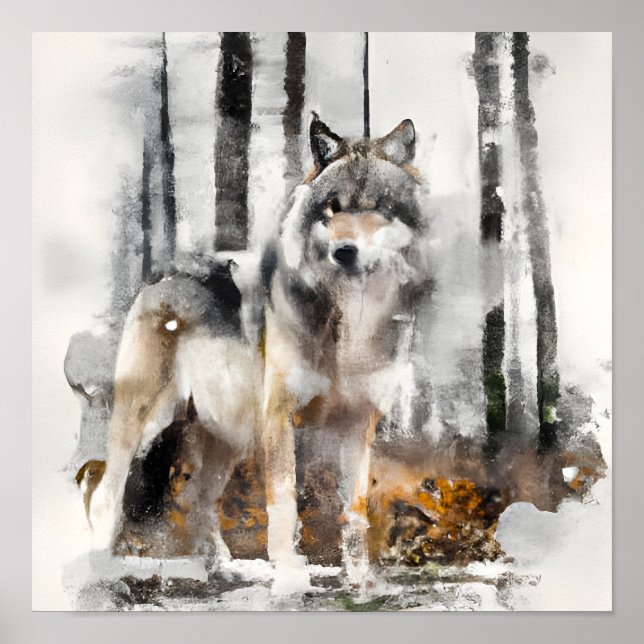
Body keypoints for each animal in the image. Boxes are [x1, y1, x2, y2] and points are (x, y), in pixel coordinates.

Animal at [262, 114, 430, 587]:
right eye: (332, 208)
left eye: (378, 207)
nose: (344, 251)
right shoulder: (277, 414)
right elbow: (284, 500)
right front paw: (287, 574)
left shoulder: (358, 422)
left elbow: (353, 510)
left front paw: (359, 579)